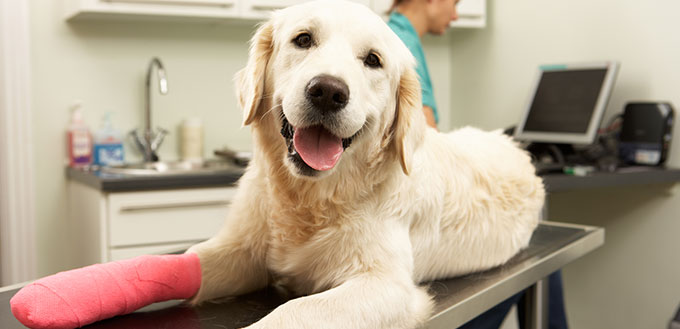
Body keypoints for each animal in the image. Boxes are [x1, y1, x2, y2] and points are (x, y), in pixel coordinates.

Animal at [185, 1, 540, 326]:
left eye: (373, 60)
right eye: (303, 39)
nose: (328, 92)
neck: (311, 198)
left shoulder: (387, 285)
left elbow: (294, 311)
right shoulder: (242, 250)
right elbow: (194, 259)